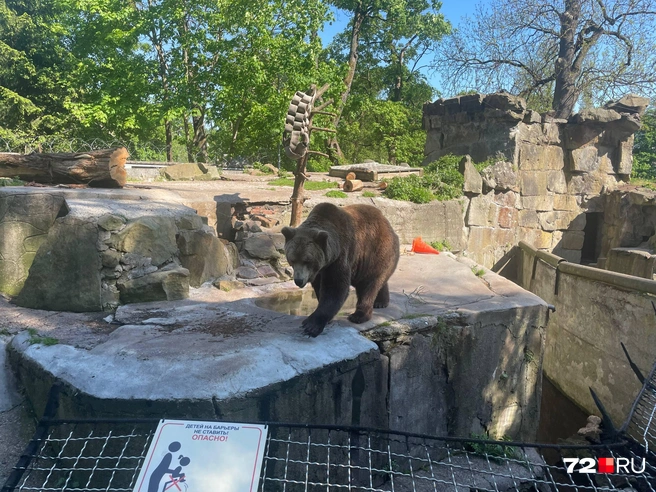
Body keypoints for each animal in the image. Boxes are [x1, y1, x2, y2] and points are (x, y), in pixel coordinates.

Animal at [281, 202, 400, 337]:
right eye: (292, 260)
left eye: (307, 260)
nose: (299, 280)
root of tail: (389, 225)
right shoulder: (319, 270)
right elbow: (320, 288)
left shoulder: (340, 257)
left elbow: (335, 288)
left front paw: (311, 324)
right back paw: (381, 302)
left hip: (375, 252)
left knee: (369, 285)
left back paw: (359, 315)